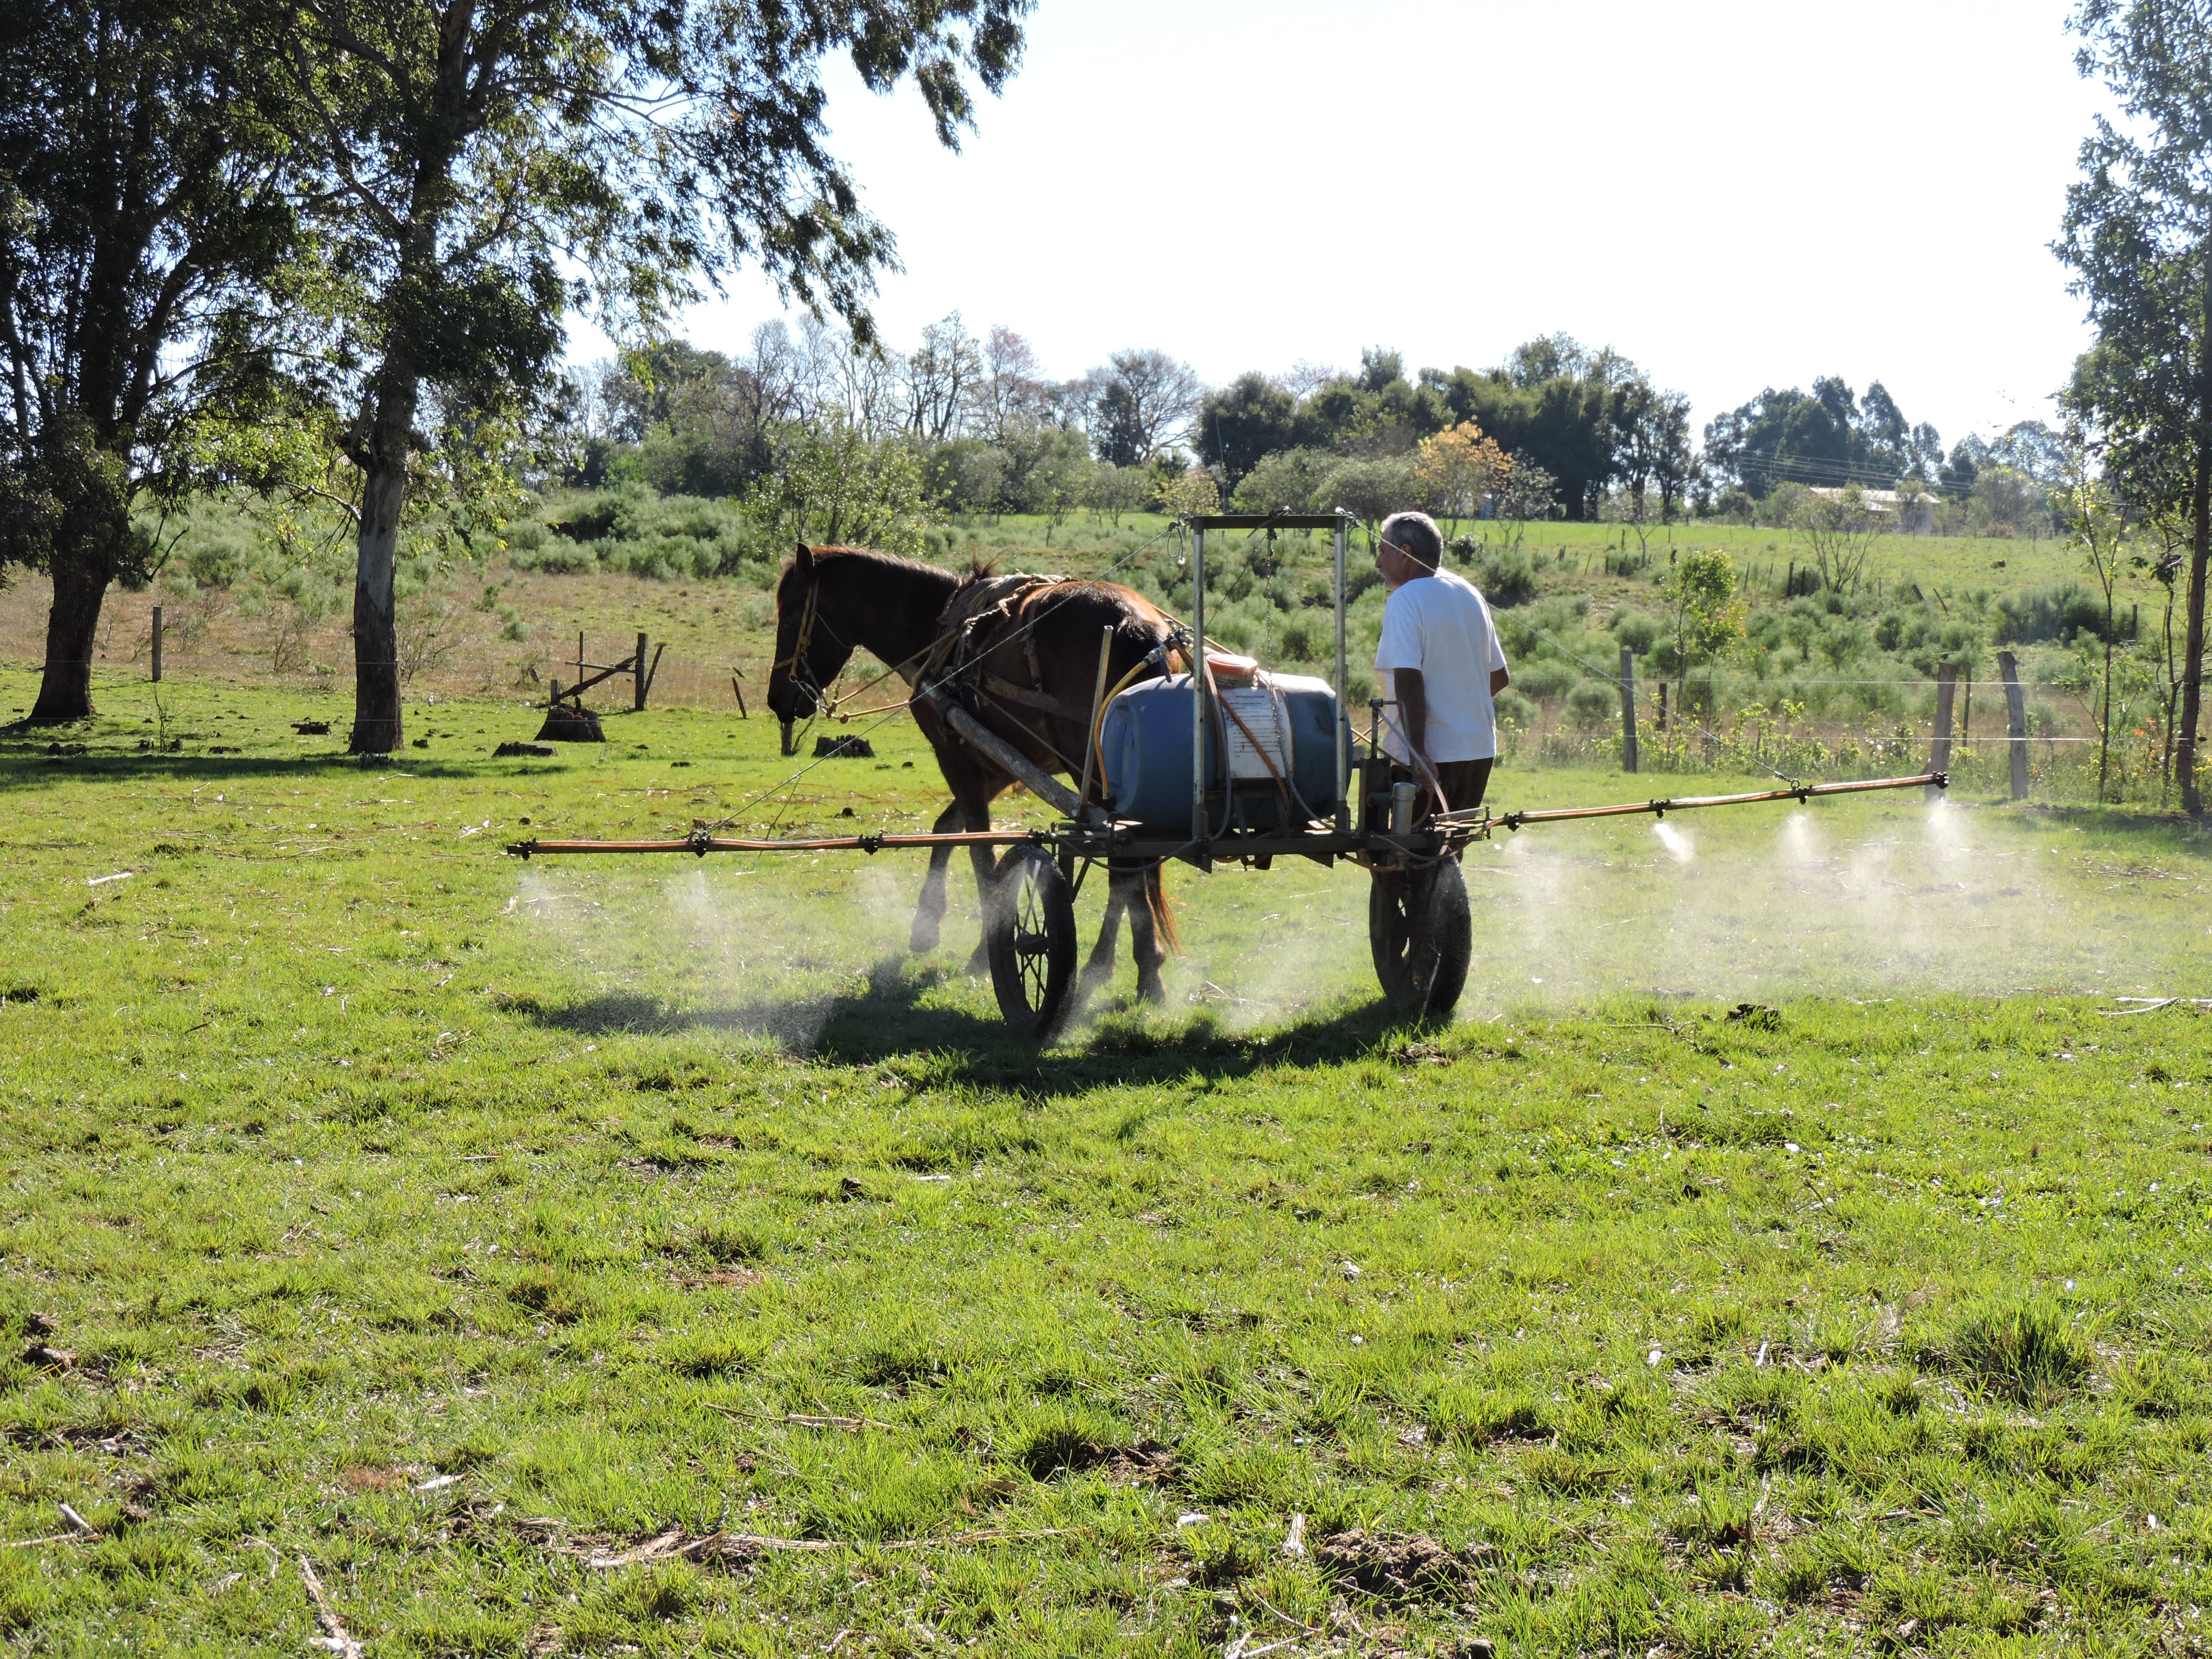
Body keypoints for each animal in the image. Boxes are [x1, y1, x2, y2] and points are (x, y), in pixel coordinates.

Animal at [765, 553, 1185, 1009]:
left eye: (791, 614)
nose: (776, 698)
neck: (936, 625)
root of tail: (1137, 626)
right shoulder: (999, 762)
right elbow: (947, 828)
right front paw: (927, 925)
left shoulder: (957, 755)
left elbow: (979, 851)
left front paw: (988, 948)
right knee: (1132, 865)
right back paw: (1130, 967)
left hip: (1090, 775)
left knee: (1125, 868)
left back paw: (1120, 968)